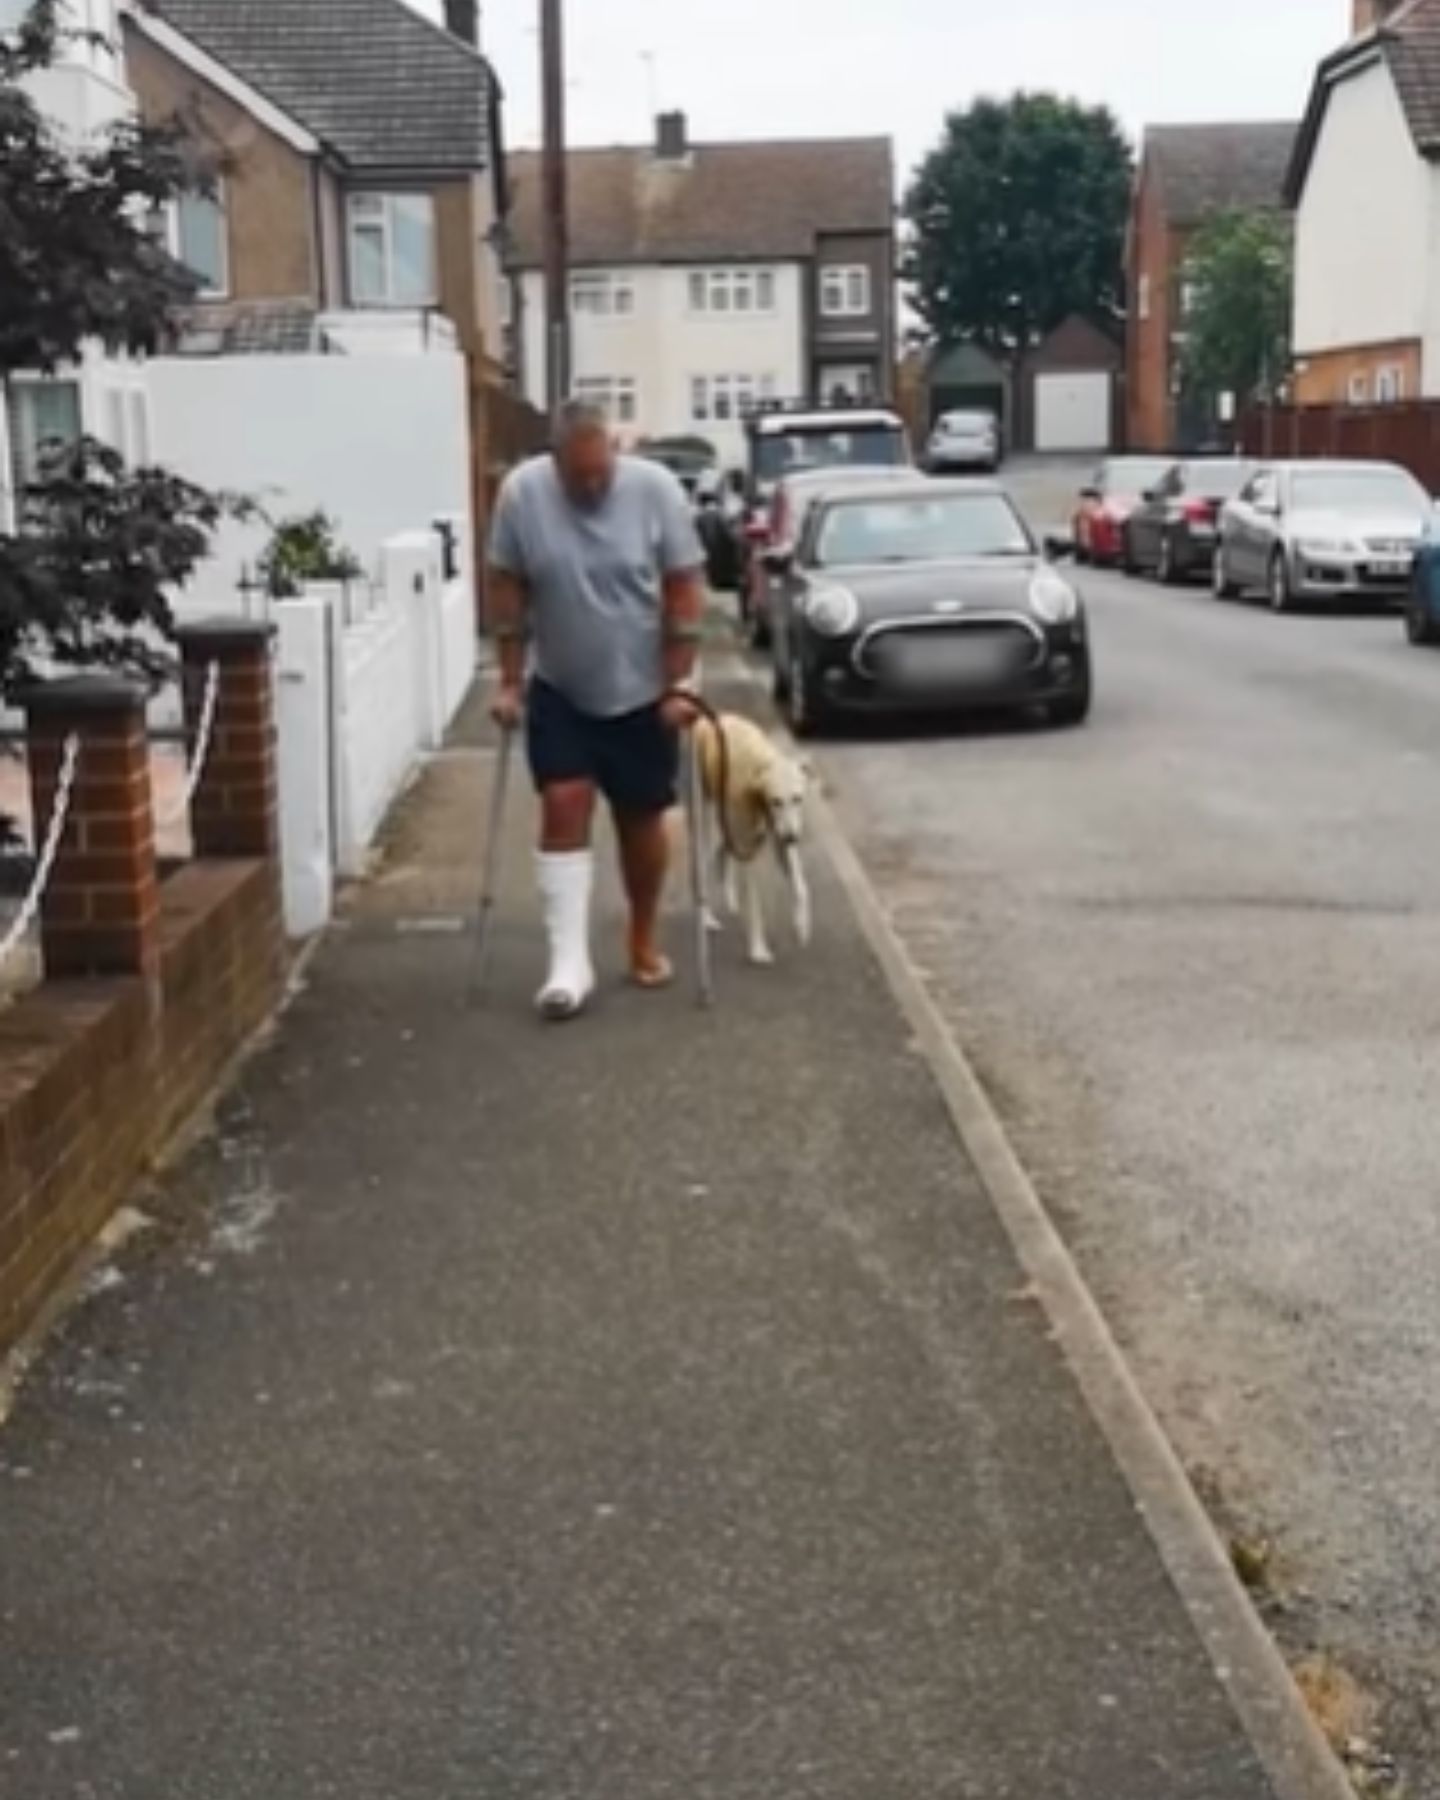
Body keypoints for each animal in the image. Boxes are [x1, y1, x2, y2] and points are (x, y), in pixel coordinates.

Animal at [687, 712, 810, 972]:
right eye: (776, 801)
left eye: (798, 798)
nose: (792, 838)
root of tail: (708, 717)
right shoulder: (751, 847)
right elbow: (754, 905)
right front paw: (758, 950)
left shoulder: (778, 839)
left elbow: (801, 887)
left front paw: (801, 927)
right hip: (703, 817)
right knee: (702, 863)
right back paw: (706, 918)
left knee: (722, 850)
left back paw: (730, 898)